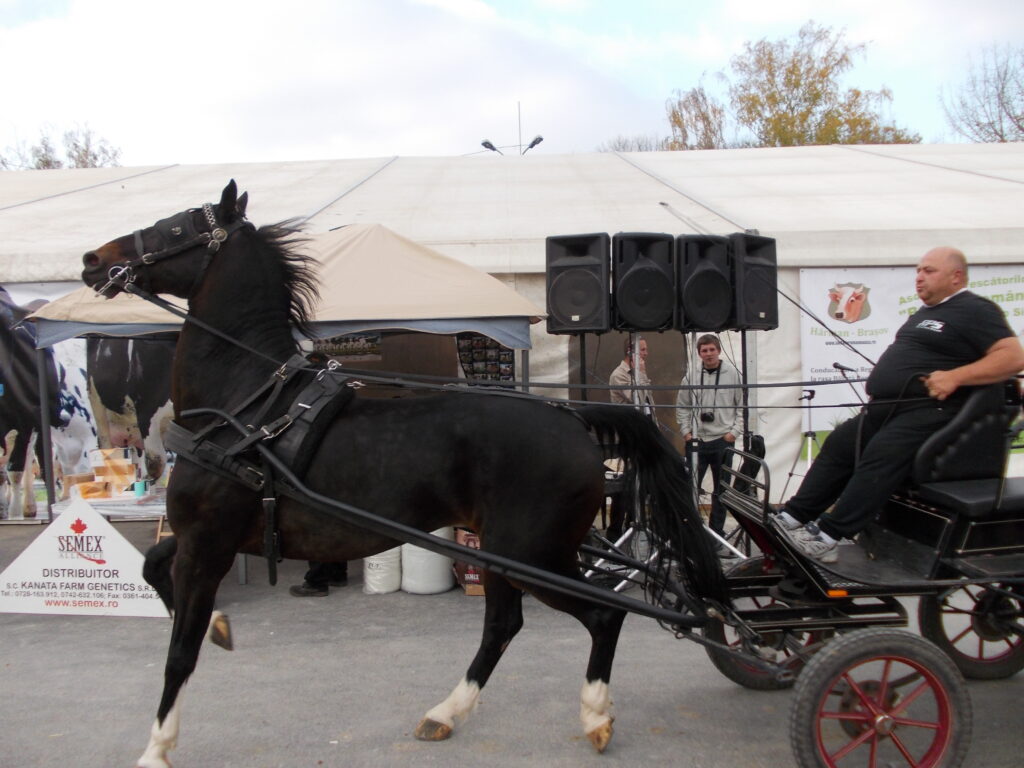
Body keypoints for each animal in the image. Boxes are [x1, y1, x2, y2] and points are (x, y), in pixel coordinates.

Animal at [79, 182, 724, 768]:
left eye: (177, 226)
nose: (93, 260)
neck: (246, 405)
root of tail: (576, 419)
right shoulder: (204, 540)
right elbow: (152, 568)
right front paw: (220, 625)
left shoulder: (206, 543)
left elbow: (179, 654)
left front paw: (157, 748)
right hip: (507, 554)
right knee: (504, 624)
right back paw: (447, 714)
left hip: (533, 555)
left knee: (601, 614)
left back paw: (594, 716)